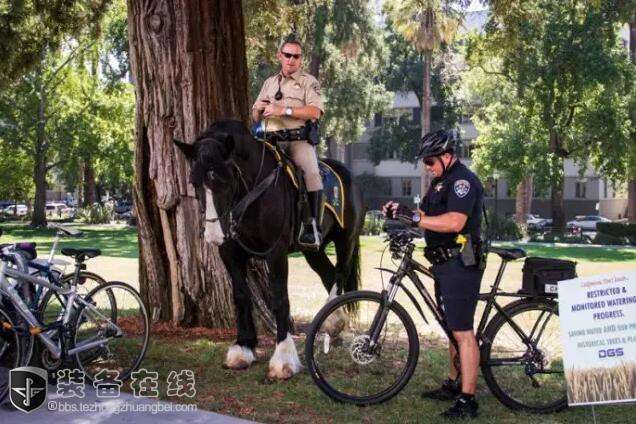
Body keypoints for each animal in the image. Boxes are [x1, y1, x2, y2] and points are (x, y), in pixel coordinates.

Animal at [175, 120, 362, 380]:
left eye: (224, 181)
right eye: (195, 182)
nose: (213, 235)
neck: (253, 192)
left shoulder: (275, 253)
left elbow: (279, 299)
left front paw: (283, 359)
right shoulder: (230, 252)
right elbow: (241, 295)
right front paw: (243, 347)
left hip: (346, 240)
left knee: (340, 274)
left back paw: (333, 321)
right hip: (313, 251)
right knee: (328, 274)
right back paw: (332, 325)